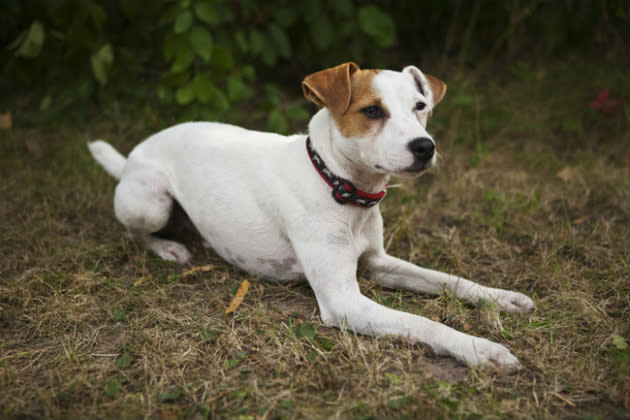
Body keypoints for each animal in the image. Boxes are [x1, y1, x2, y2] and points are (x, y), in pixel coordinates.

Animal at [87, 62, 532, 368]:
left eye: (420, 106)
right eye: (373, 111)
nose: (425, 147)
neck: (338, 184)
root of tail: (132, 156)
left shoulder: (379, 263)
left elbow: (449, 280)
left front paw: (500, 298)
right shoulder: (343, 300)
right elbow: (423, 323)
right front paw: (480, 349)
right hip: (151, 203)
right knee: (133, 233)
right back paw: (168, 248)